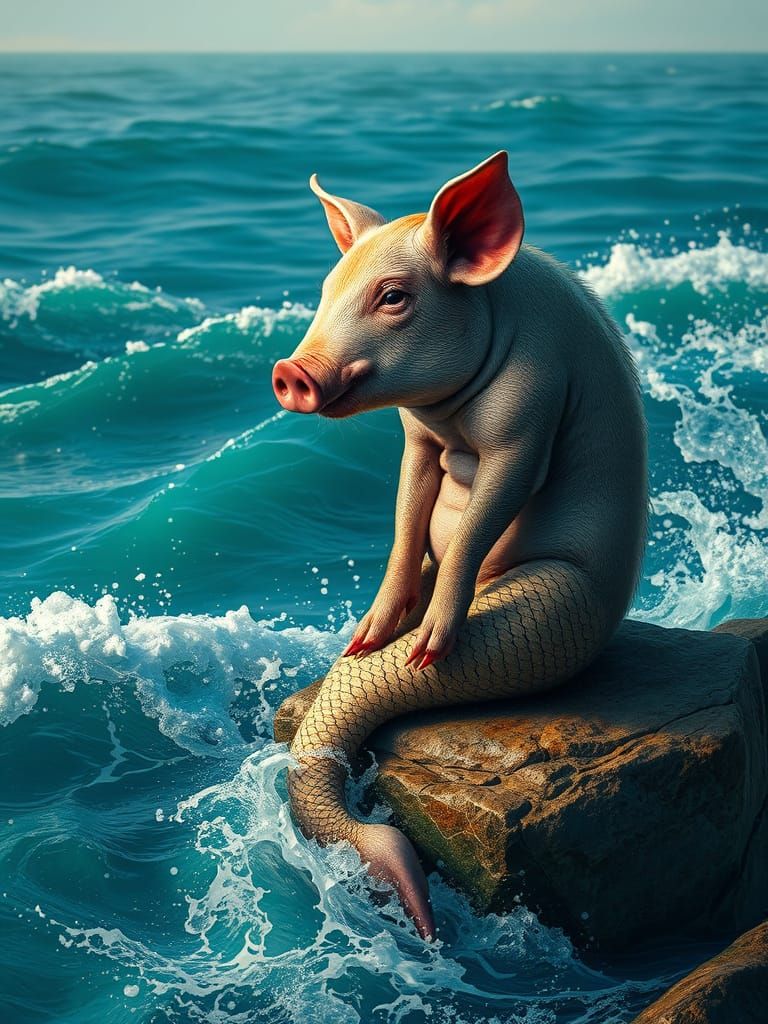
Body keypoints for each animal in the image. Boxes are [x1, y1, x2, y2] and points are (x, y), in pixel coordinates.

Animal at [272, 151, 648, 941]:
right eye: (325, 290)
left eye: (393, 296)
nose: (290, 372)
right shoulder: (416, 437)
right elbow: (407, 506)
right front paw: (370, 634)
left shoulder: (529, 416)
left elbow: (490, 505)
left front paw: (426, 649)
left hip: (555, 613)